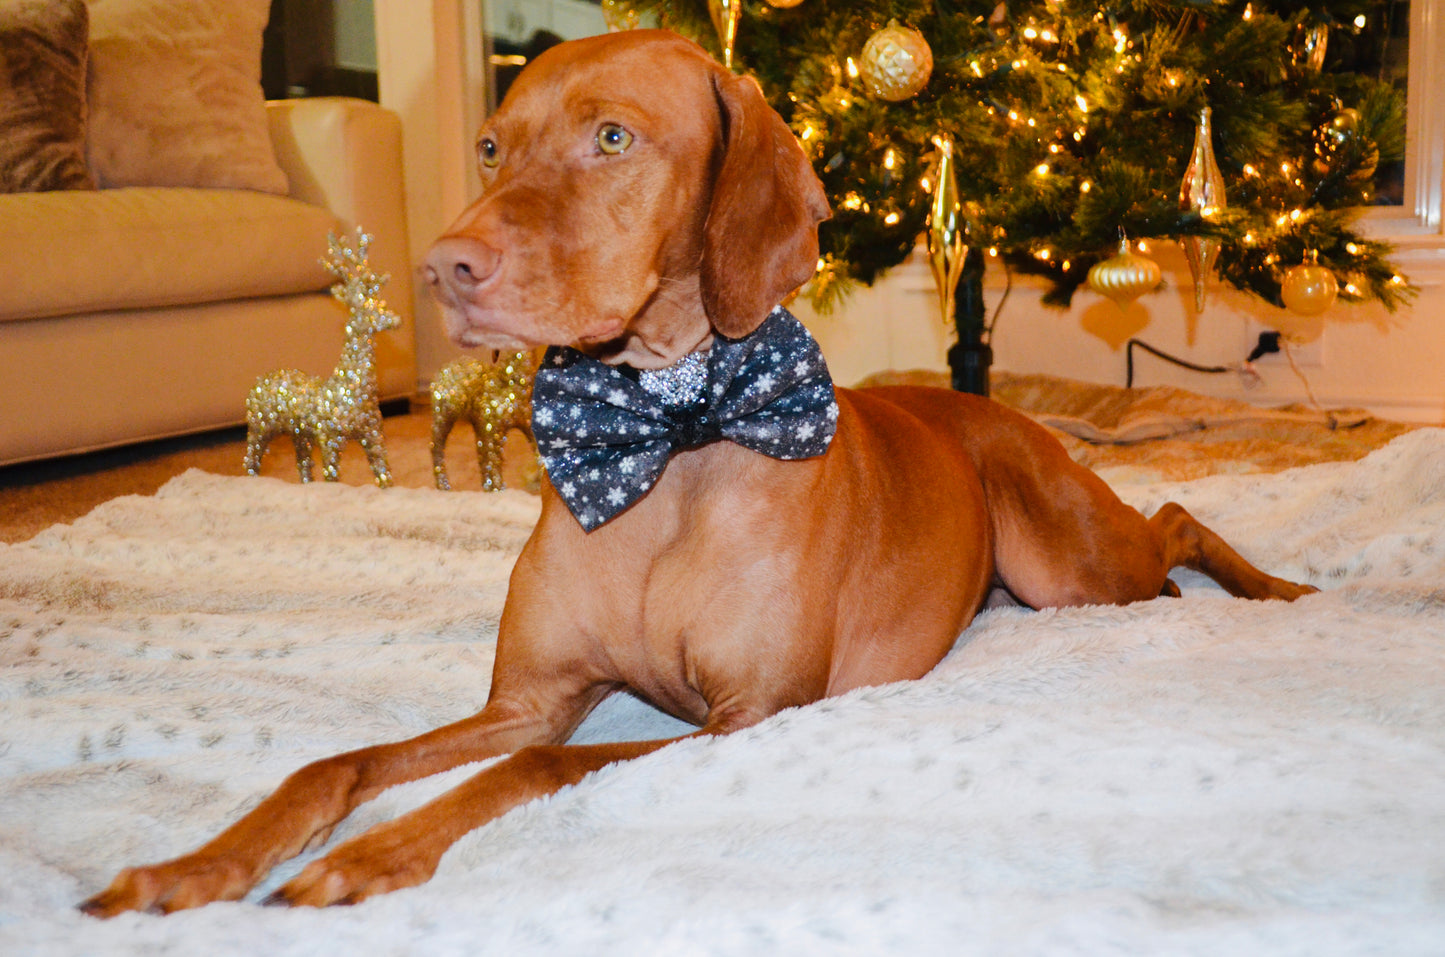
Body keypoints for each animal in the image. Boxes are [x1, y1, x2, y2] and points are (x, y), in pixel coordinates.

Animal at [84, 28, 1317, 913]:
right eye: (489, 147)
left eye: (612, 139)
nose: (444, 266)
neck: (664, 441)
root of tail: (982, 402)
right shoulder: (530, 698)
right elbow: (331, 765)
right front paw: (194, 867)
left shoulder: (746, 716)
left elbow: (531, 774)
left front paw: (372, 855)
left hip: (1067, 566)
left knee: (1173, 515)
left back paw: (1280, 591)